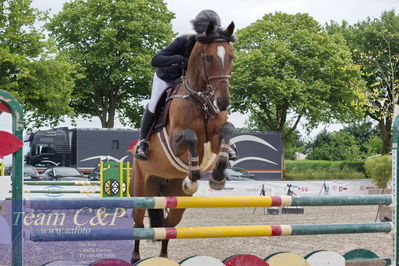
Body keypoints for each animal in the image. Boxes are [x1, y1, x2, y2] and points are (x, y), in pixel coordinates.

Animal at [130, 20, 236, 262]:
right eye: (208, 58)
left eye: (231, 56)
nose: (223, 102)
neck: (201, 100)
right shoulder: (175, 141)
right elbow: (191, 137)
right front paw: (193, 178)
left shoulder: (216, 138)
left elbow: (227, 131)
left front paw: (218, 177)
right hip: (141, 192)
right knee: (138, 225)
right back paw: (135, 257)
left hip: (176, 201)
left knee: (168, 227)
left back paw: (164, 257)